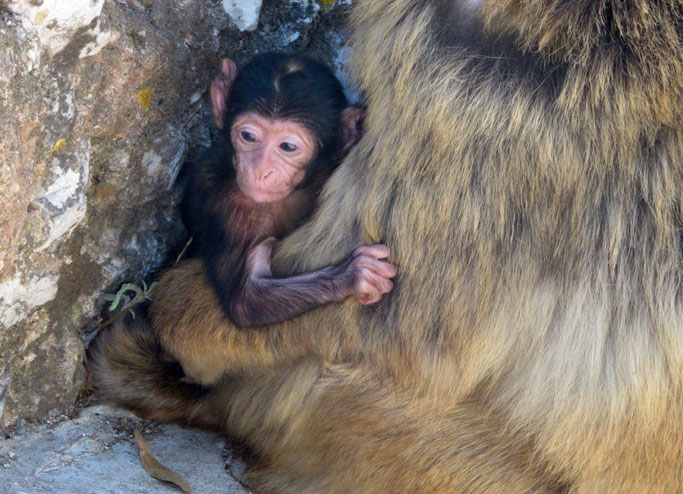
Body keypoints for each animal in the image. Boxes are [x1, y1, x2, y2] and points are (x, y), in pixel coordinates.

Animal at [184, 53, 398, 328]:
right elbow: (244, 301)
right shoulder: (215, 201)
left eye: (287, 146)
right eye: (248, 136)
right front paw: (352, 275)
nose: (260, 170)